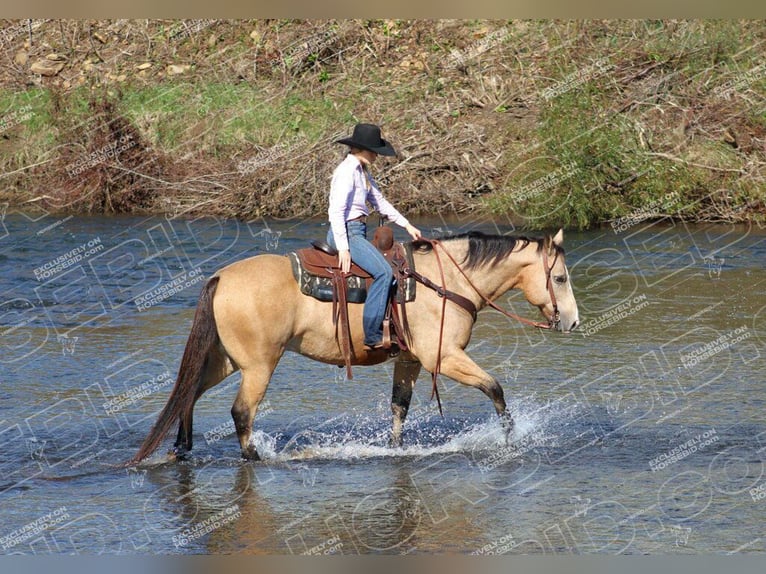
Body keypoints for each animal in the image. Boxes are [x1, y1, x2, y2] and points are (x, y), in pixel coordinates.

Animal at [129, 227, 580, 466]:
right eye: (559, 278)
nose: (573, 321)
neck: (444, 281)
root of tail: (220, 276)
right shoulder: (444, 357)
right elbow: (495, 389)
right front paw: (510, 439)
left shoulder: (411, 360)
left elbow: (399, 408)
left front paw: (395, 450)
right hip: (258, 364)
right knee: (241, 412)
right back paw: (254, 456)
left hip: (225, 359)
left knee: (189, 393)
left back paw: (182, 448)